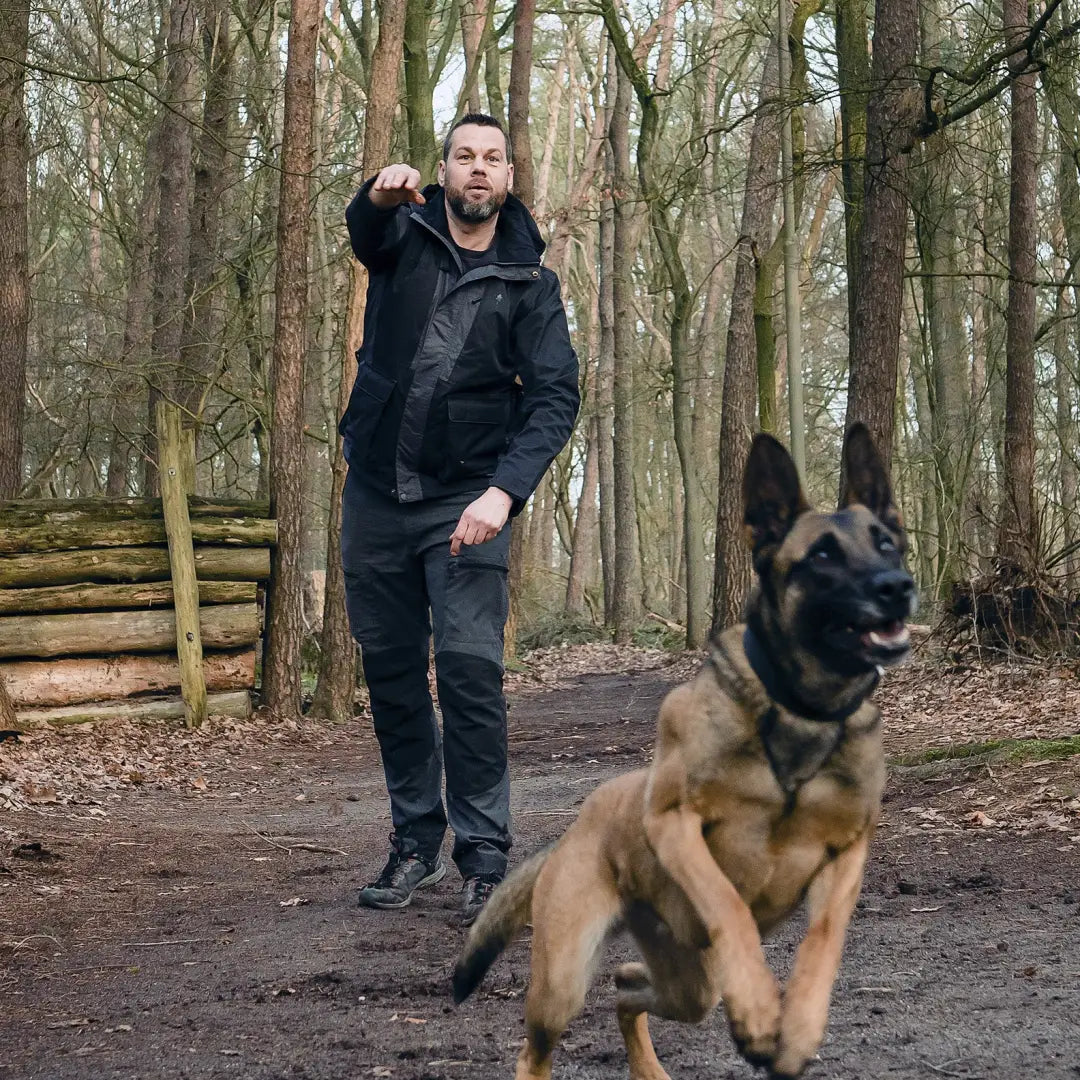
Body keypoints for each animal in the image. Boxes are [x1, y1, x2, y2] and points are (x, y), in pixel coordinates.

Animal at [451, 425, 915, 1080]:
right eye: (822, 556)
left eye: (887, 544)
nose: (896, 588)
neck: (799, 711)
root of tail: (570, 836)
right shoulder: (677, 823)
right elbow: (728, 904)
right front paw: (759, 1007)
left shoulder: (847, 851)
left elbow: (824, 936)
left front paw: (797, 1025)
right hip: (563, 978)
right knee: (535, 1046)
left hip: (689, 982)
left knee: (627, 987)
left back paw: (650, 1063)